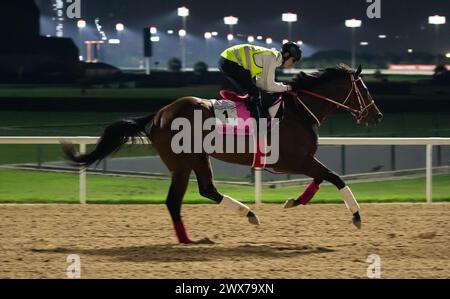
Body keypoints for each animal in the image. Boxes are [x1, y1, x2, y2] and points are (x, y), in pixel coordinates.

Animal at [61, 64, 382, 245]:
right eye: (365, 91)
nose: (376, 116)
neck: (298, 110)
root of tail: (160, 114)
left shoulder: (301, 161)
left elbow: (323, 177)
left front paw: (293, 201)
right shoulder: (295, 160)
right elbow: (334, 176)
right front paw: (356, 216)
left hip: (196, 159)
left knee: (197, 192)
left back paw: (216, 227)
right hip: (184, 162)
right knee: (184, 197)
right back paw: (210, 231)